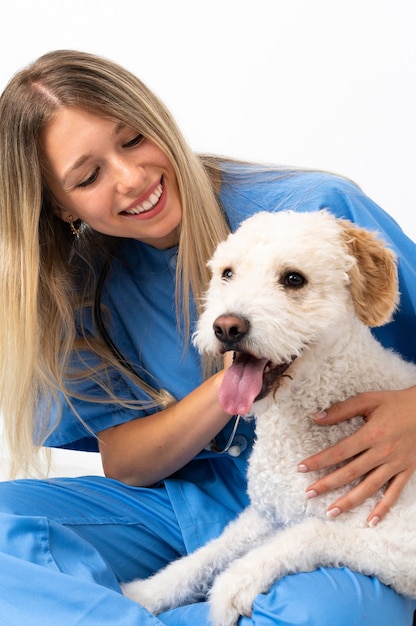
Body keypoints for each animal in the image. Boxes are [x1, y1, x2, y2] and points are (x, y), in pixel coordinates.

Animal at [122, 210, 416, 624]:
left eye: (293, 279)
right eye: (227, 273)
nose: (226, 326)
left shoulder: (398, 546)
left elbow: (308, 534)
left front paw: (231, 586)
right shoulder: (266, 512)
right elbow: (208, 553)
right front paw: (147, 592)